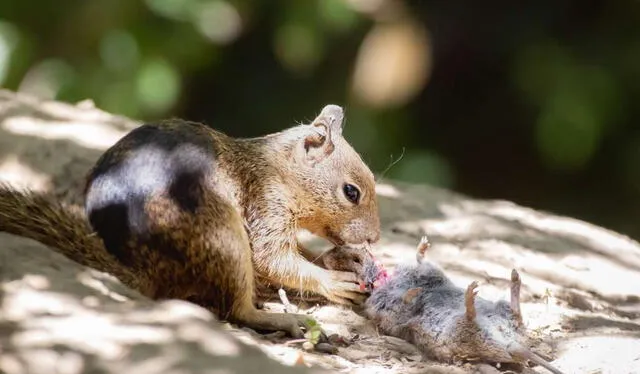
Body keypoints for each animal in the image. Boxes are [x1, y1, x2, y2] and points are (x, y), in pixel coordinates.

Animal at [0, 104, 380, 336]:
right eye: (351, 192)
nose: (375, 238)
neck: (277, 168)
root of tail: (147, 271)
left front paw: (343, 258)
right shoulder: (265, 202)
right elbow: (272, 259)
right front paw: (334, 281)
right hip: (224, 235)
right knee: (236, 310)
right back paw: (278, 318)